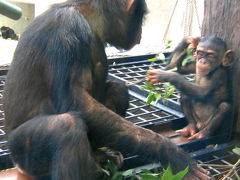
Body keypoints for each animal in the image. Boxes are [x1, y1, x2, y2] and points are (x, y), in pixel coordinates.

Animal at [3, 0, 210, 180]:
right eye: (141, 18)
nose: (141, 32)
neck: (88, 16)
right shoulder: (67, 28)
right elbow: (75, 101)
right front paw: (169, 152)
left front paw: (184, 49)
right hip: (24, 156)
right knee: (66, 127)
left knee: (118, 90)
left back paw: (101, 154)